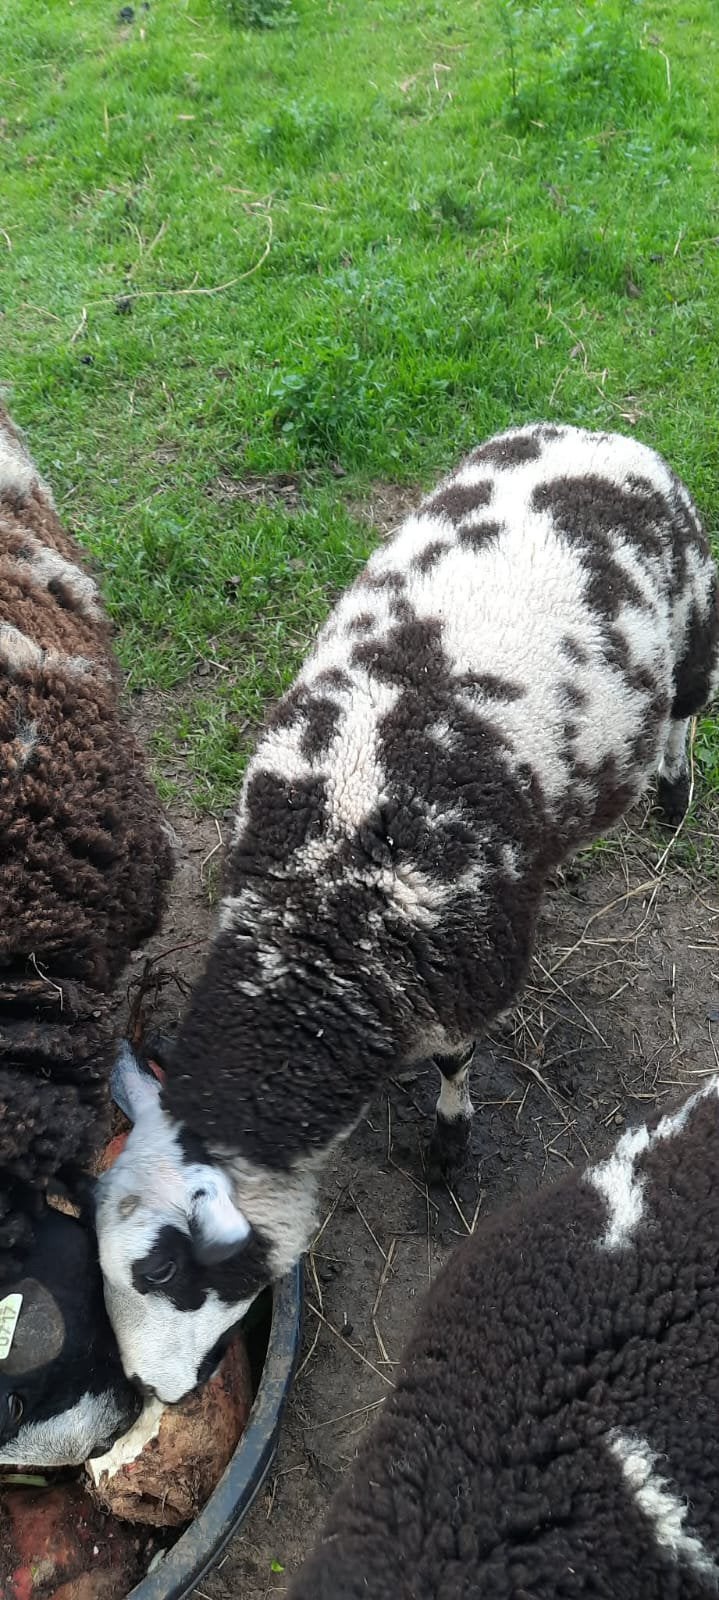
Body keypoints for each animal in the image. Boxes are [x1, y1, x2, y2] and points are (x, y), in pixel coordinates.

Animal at [96, 421, 719, 1405]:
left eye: (159, 1268)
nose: (150, 1393)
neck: (317, 909)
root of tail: (598, 432)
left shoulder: (463, 968)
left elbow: (456, 1064)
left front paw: (449, 1150)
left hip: (693, 618)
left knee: (693, 705)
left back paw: (672, 791)